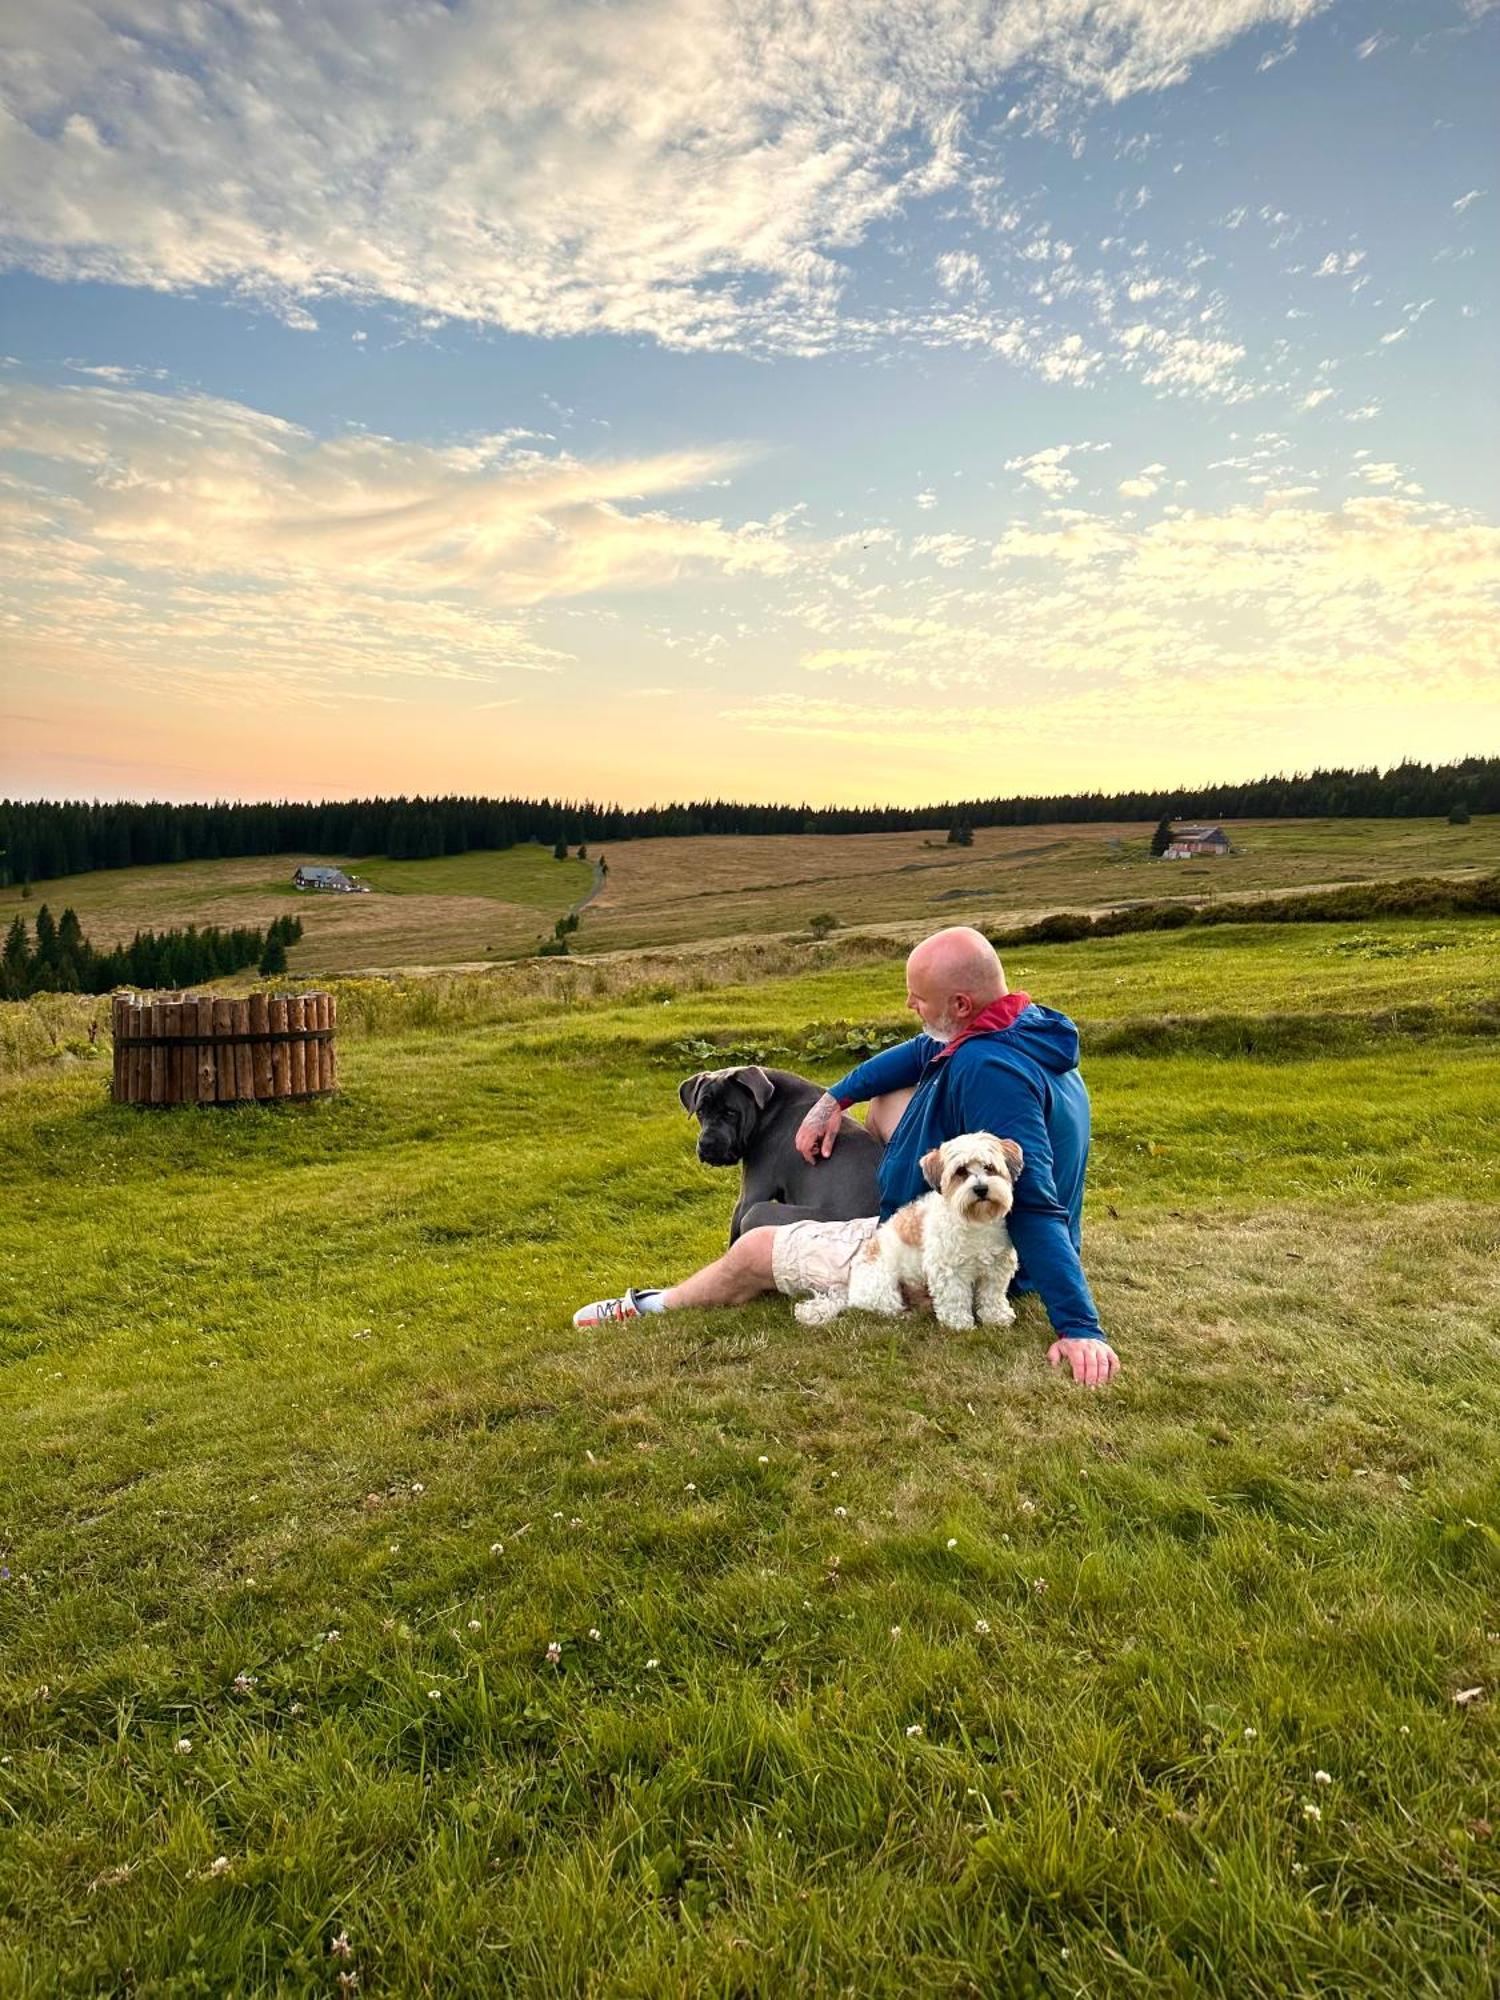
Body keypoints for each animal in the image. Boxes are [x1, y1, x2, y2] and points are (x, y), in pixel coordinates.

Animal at [680, 1064, 888, 1232]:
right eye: (700, 1111)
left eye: (731, 1113)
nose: (707, 1143)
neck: (767, 1107)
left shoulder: (748, 1199)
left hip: (757, 1214)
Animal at [800, 1136, 1024, 1336]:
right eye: (960, 1171)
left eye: (989, 1167)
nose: (981, 1188)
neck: (974, 1222)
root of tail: (850, 1291)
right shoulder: (948, 1271)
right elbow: (955, 1298)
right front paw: (959, 1325)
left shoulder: (996, 1268)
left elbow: (992, 1296)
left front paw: (996, 1317)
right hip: (886, 1289)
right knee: (887, 1309)